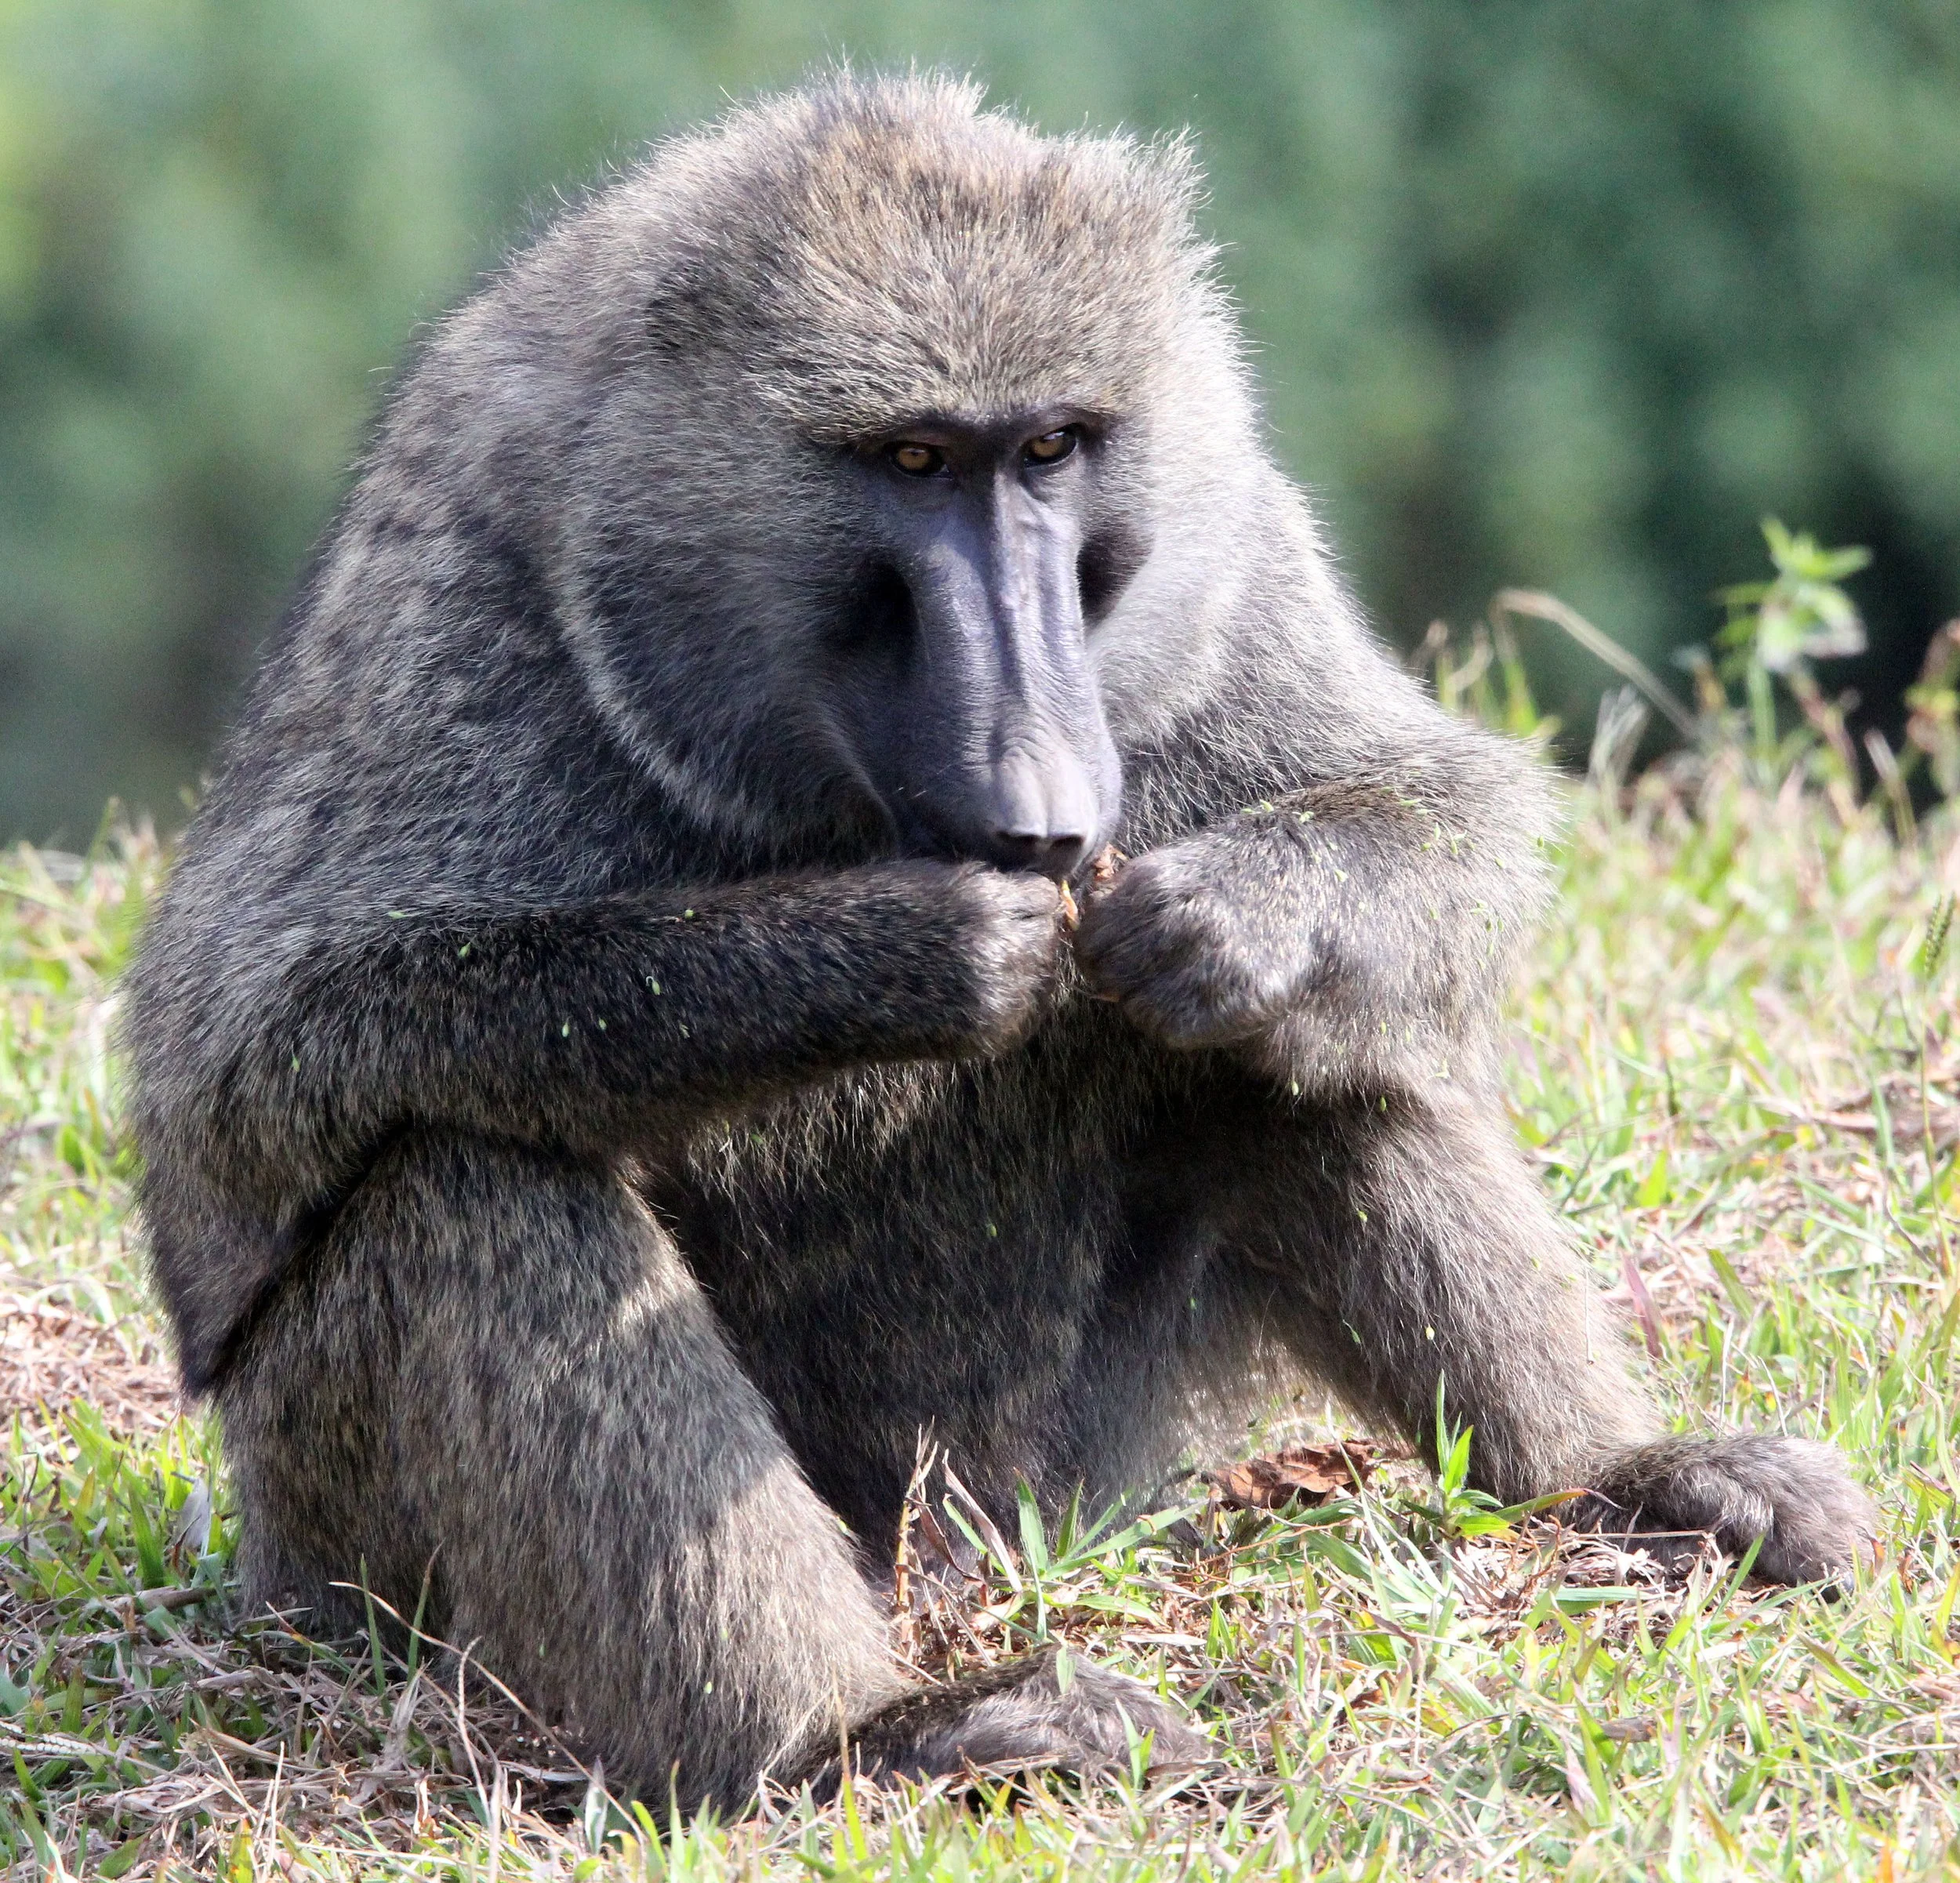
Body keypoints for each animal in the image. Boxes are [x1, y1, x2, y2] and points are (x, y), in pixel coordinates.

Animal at [122, 73, 1876, 1811]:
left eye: (1046, 449)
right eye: (909, 458)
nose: (1045, 799)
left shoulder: (1230, 542)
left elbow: (1442, 810)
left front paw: (1229, 913)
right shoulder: (465, 603)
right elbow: (247, 1051)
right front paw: (906, 947)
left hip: (1069, 1456)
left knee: (1299, 1048)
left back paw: (1621, 1479)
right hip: (356, 1538)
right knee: (466, 1177)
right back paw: (858, 1730)